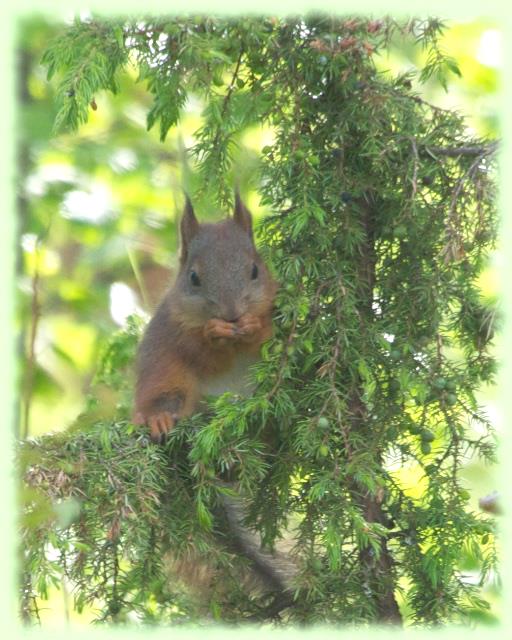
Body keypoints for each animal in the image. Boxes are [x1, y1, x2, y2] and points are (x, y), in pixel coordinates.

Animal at [132, 190, 276, 442]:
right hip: (165, 377)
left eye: (255, 271)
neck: (234, 343)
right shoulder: (175, 328)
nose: (232, 315)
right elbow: (200, 352)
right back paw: (159, 419)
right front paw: (214, 333)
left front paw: (253, 326)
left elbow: (270, 338)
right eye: (193, 277)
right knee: (163, 400)